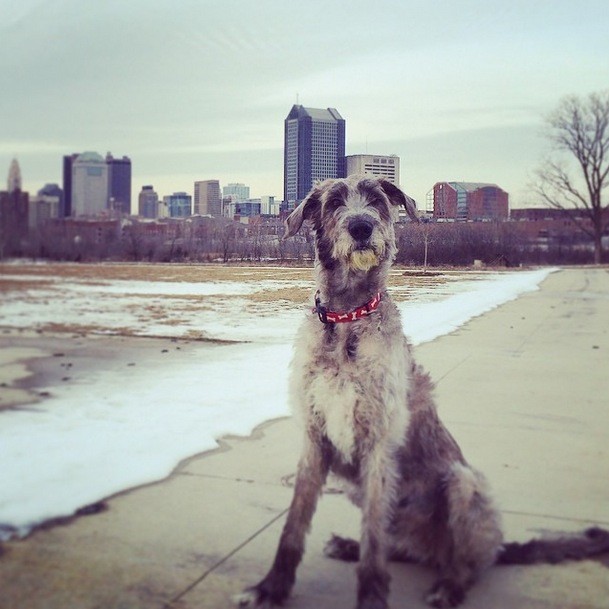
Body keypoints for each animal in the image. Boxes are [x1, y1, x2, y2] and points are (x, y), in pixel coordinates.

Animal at [238, 176, 608, 608]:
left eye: (377, 200)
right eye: (333, 203)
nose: (361, 227)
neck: (347, 318)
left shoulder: (378, 443)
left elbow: (374, 538)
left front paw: (371, 596)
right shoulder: (315, 438)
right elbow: (294, 524)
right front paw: (271, 588)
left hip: (465, 483)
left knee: (461, 562)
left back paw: (448, 586)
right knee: (397, 546)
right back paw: (350, 546)